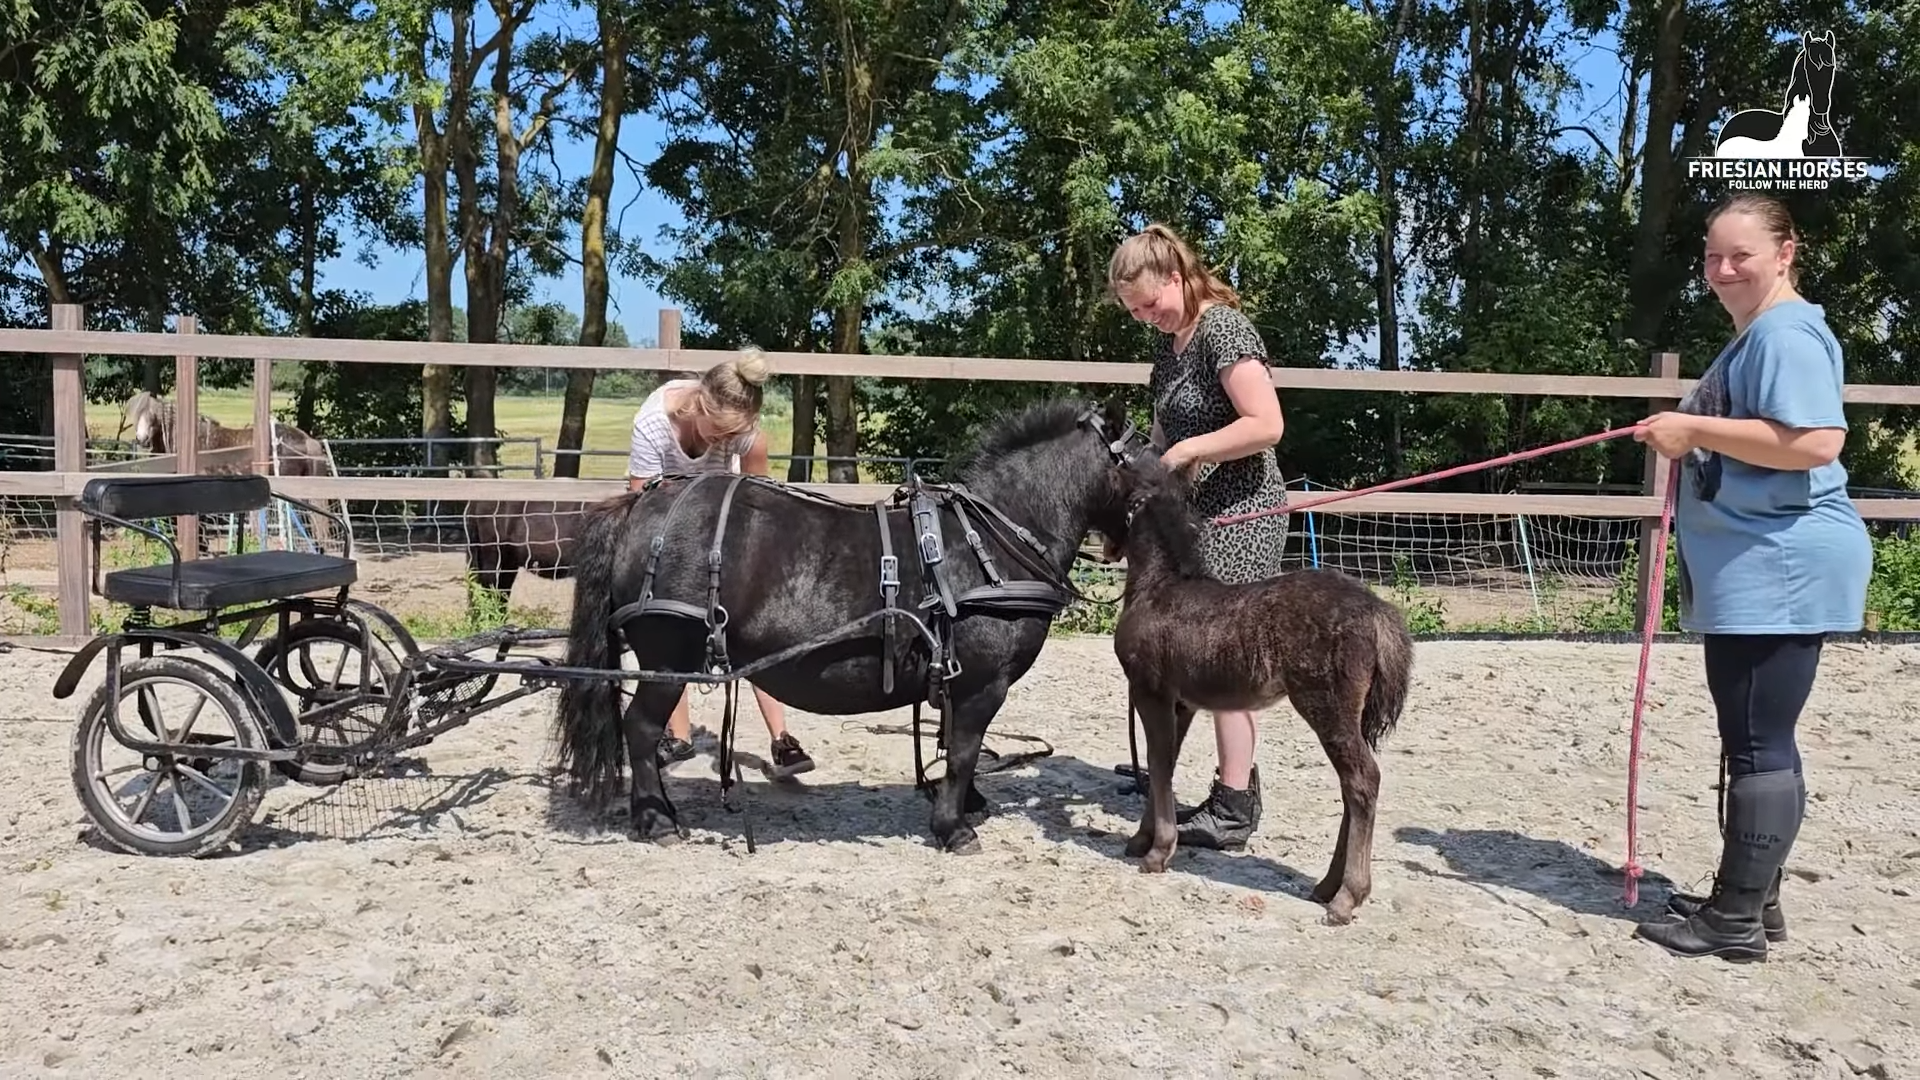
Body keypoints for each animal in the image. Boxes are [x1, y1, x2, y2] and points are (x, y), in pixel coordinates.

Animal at [556, 395, 1144, 849]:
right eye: (1146, 456)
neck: (988, 542)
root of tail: (639, 508)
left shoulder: (958, 680)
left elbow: (958, 746)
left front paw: (968, 802)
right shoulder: (982, 682)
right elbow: (963, 750)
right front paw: (953, 826)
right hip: (666, 657)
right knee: (640, 728)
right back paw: (655, 818)